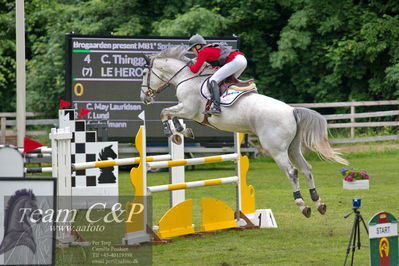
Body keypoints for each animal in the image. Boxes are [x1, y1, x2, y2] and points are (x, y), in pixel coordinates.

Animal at [141, 46, 346, 216]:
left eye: (143, 73)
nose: (145, 97)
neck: (186, 77)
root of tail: (291, 111)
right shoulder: (188, 111)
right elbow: (171, 114)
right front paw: (182, 131)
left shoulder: (189, 109)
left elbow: (164, 111)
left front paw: (172, 132)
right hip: (292, 148)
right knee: (307, 169)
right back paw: (318, 203)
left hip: (276, 149)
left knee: (292, 172)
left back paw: (303, 205)